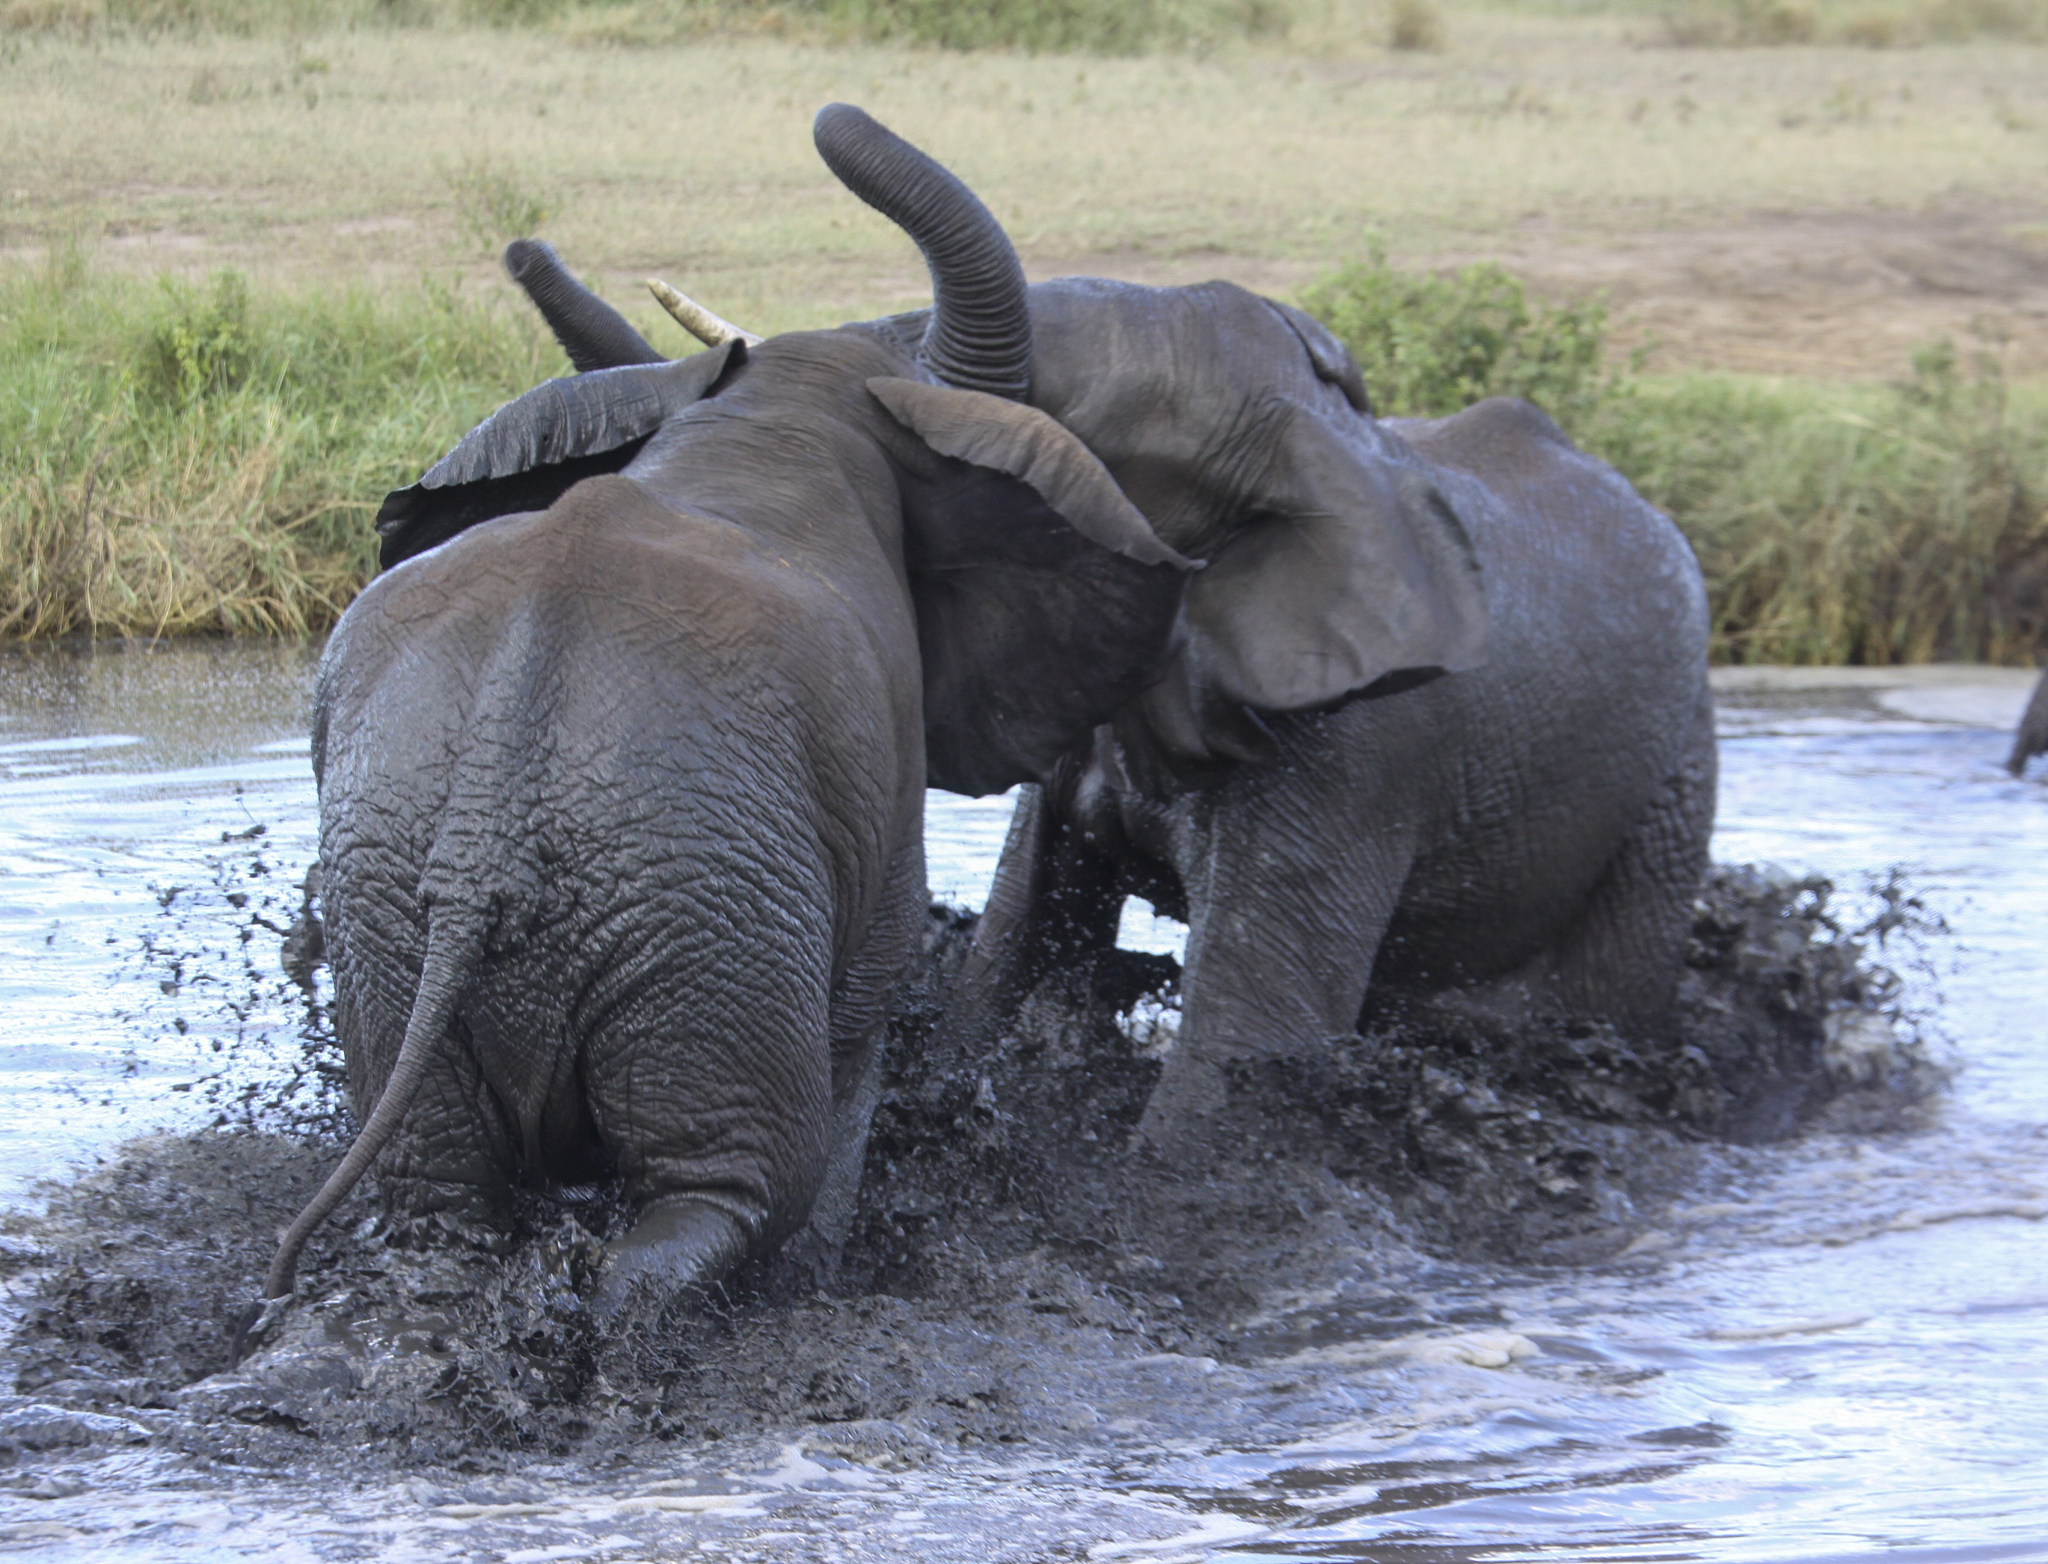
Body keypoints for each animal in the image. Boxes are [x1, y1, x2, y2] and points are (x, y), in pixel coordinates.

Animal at [243, 105, 1206, 1341]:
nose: (830, 113)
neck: (766, 423)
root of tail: (480, 840)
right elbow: (858, 1035)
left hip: (409, 916)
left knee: (442, 1199)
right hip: (700, 917)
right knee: (731, 1190)